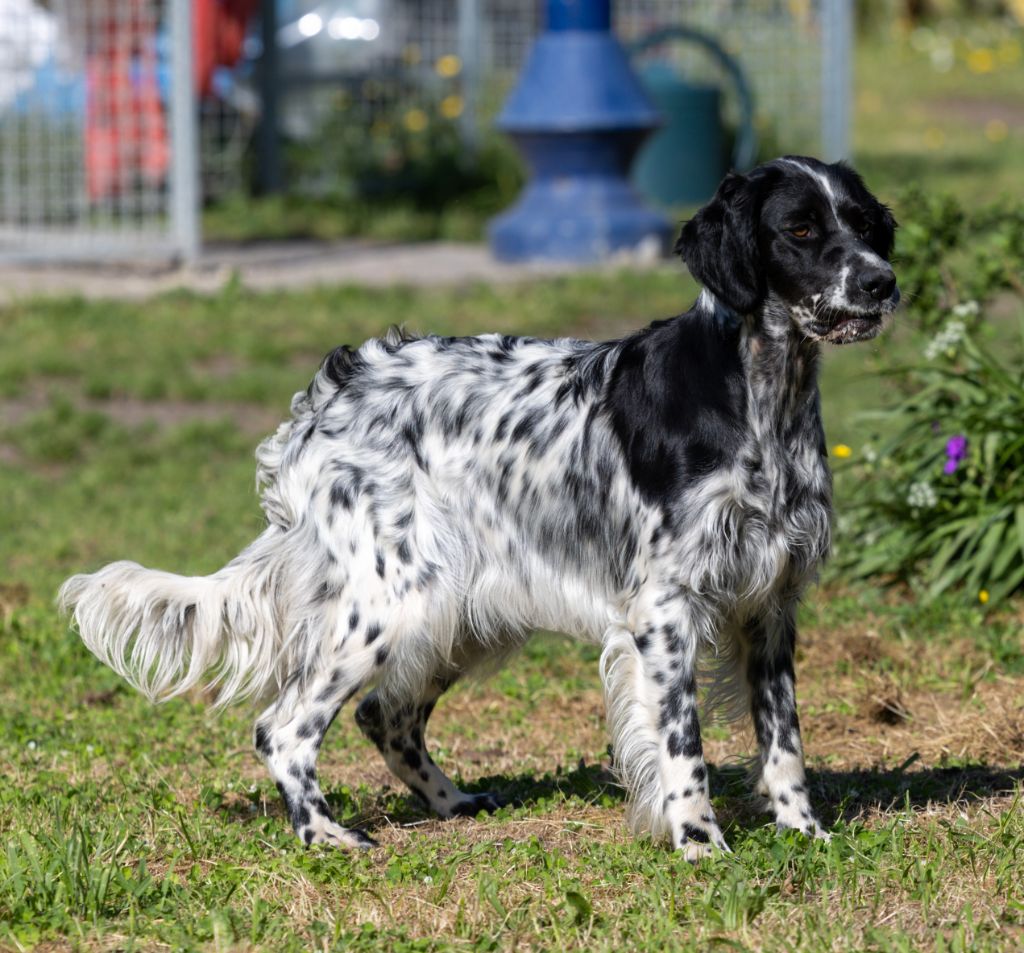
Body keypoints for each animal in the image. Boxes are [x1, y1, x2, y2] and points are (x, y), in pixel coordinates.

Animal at [64, 154, 897, 855]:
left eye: (863, 223)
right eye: (800, 229)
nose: (882, 281)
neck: (759, 402)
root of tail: (326, 398)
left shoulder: (772, 605)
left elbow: (784, 742)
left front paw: (806, 832)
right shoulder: (666, 609)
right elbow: (682, 745)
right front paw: (699, 842)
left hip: (456, 612)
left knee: (384, 714)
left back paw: (453, 801)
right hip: (387, 605)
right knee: (284, 728)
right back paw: (326, 835)